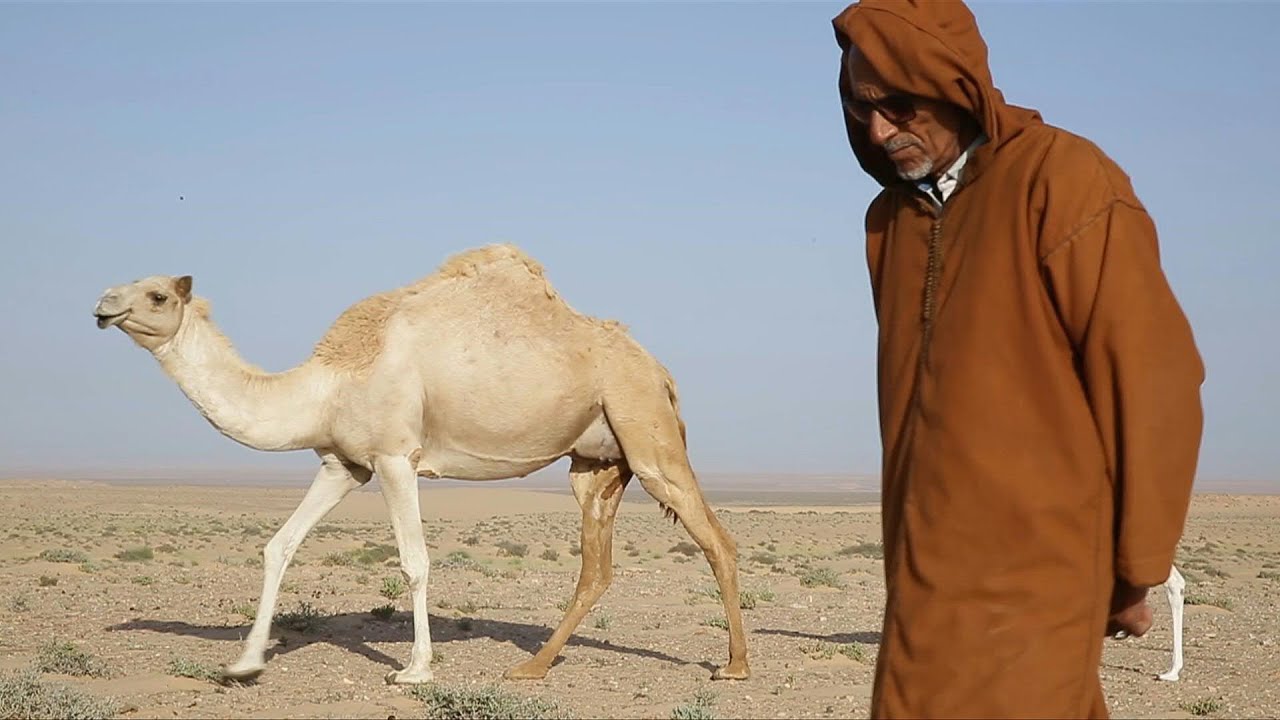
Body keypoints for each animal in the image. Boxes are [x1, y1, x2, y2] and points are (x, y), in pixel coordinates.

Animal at [91, 244, 750, 685]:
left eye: (157, 294)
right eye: (127, 282)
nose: (102, 303)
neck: (329, 382)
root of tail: (660, 370)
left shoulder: (394, 458)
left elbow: (414, 562)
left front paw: (414, 669)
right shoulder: (343, 464)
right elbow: (280, 545)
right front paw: (245, 663)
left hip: (646, 430)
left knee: (716, 538)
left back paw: (735, 666)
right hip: (595, 463)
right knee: (596, 568)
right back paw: (532, 668)